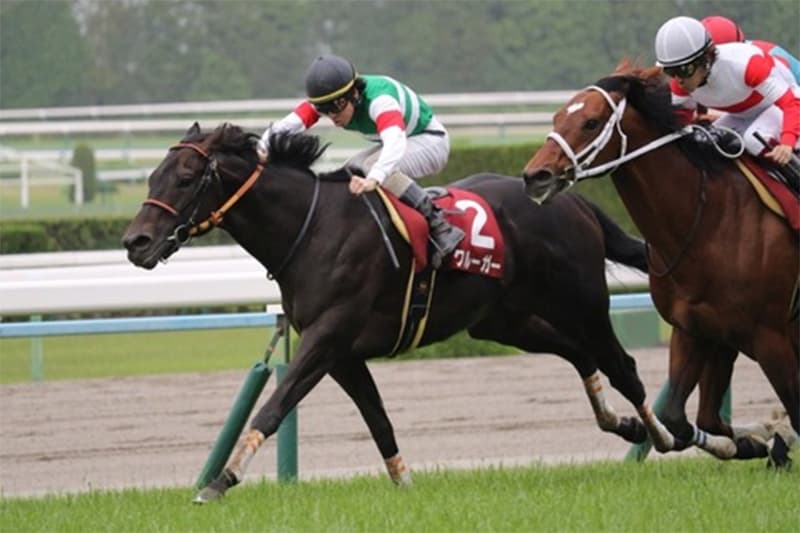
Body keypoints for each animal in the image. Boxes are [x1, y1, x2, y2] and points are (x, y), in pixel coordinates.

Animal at [123, 122, 675, 502]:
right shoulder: (342, 354)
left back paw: (669, 434)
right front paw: (405, 487)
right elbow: (379, 421)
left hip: (583, 300)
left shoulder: (326, 338)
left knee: (621, 364)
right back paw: (624, 424)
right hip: (504, 319)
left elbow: (274, 406)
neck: (312, 229)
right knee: (579, 353)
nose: (135, 242)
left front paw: (219, 481)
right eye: (153, 176)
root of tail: (571, 201)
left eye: (187, 178)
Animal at [522, 62, 799, 465]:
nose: (534, 176)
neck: (709, 222)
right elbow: (683, 418)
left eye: (590, 122)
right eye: (557, 117)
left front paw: (773, 436)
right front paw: (755, 440)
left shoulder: (770, 337)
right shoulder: (699, 331)